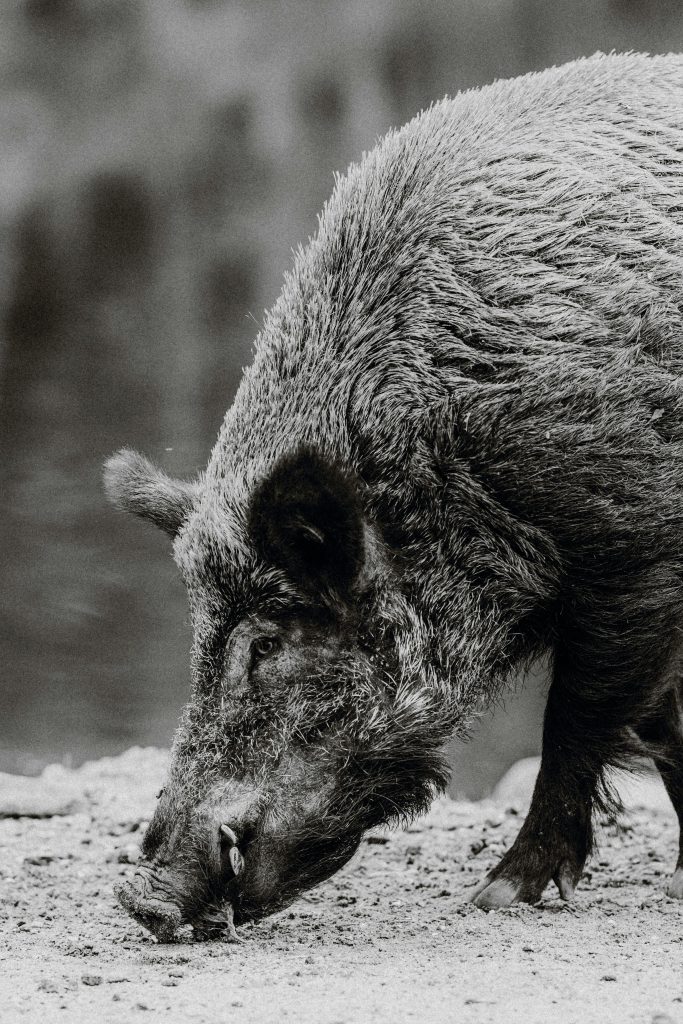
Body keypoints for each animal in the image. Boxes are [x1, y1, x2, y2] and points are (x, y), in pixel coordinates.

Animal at [105, 52, 683, 940]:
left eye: (266, 643)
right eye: (199, 637)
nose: (145, 901)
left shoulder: (633, 557)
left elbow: (577, 720)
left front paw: (493, 897)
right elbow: (661, 724)